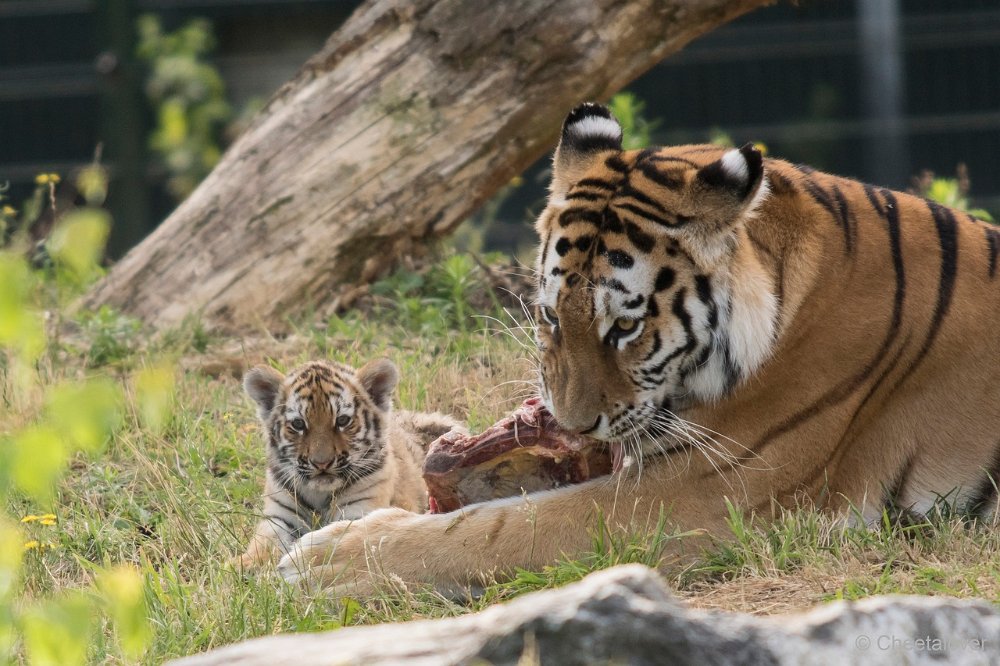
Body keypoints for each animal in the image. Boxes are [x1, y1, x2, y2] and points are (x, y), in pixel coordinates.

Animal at [278, 102, 1000, 592]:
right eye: (550, 315)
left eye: (623, 328)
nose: (573, 425)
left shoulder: (698, 495)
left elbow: (505, 526)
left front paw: (325, 560)